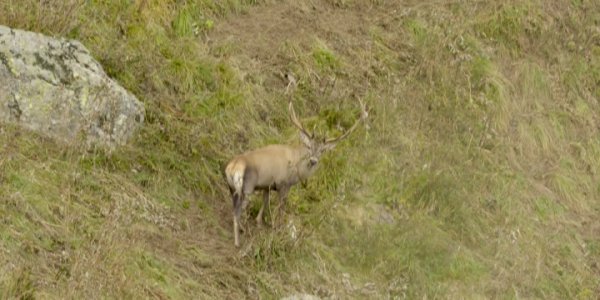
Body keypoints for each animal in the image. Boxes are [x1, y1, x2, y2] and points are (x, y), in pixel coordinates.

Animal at [224, 76, 366, 247]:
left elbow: (265, 202)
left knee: (234, 208)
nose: (313, 160)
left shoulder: (267, 185)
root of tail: (233, 168)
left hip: (232, 187)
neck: (297, 168)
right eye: (309, 146)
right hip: (247, 187)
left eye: (322, 151)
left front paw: (259, 222)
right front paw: (277, 229)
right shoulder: (283, 183)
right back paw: (238, 241)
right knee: (237, 212)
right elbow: (280, 209)